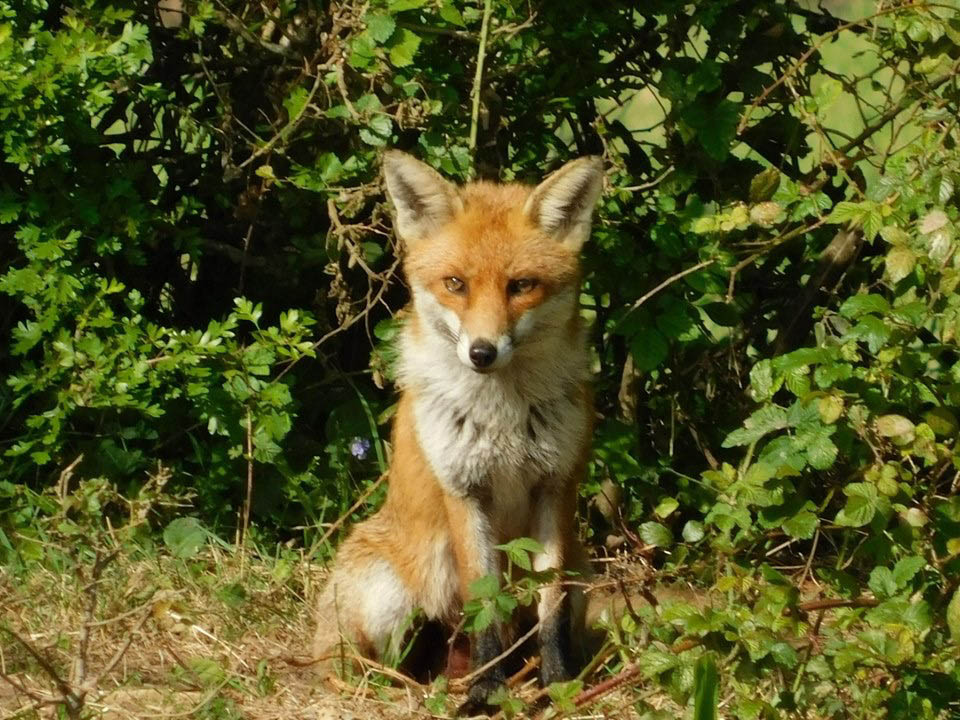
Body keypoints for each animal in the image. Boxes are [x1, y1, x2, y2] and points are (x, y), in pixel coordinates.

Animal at [312, 150, 604, 713]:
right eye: (455, 284)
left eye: (521, 286)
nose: (482, 352)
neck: (503, 417)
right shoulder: (464, 489)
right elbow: (483, 594)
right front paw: (487, 692)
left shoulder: (554, 487)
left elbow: (550, 606)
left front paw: (557, 682)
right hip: (388, 596)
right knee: (383, 663)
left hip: (584, 575)